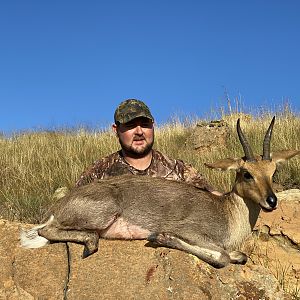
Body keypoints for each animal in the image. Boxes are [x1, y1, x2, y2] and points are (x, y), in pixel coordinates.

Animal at [20, 116, 298, 268]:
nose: (271, 201)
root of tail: (58, 206)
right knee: (48, 231)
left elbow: (238, 256)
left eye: (273, 171)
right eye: (246, 173)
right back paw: (89, 243)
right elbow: (222, 257)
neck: (228, 214)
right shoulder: (190, 230)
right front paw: (161, 237)